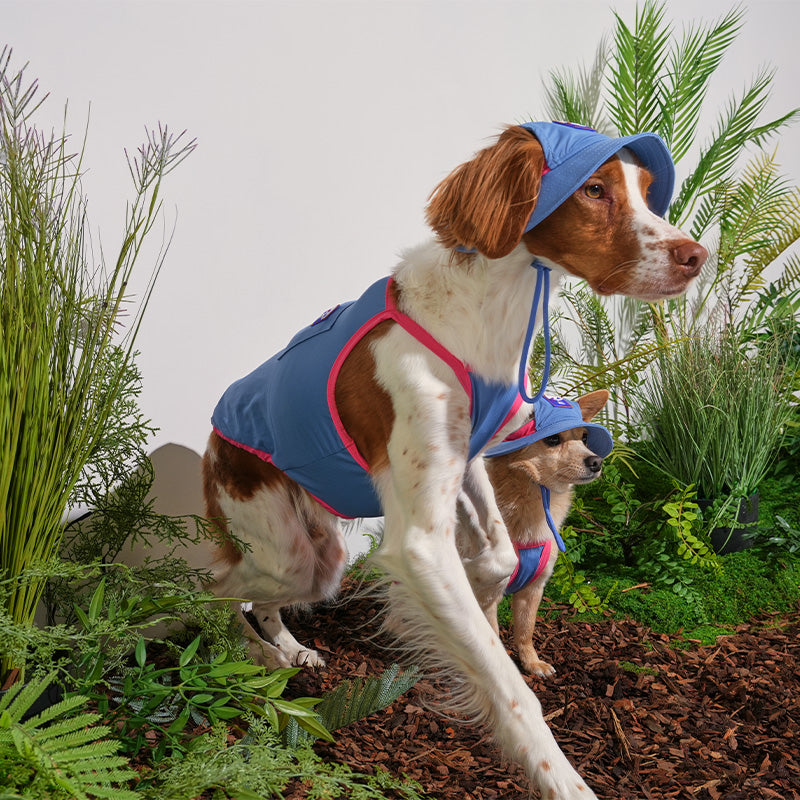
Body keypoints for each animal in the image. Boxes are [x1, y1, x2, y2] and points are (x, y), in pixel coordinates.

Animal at [460, 390, 608, 680]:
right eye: (552, 439)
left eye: (584, 438)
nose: (596, 461)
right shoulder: (486, 597)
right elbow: (493, 637)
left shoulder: (533, 589)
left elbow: (525, 631)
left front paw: (531, 663)